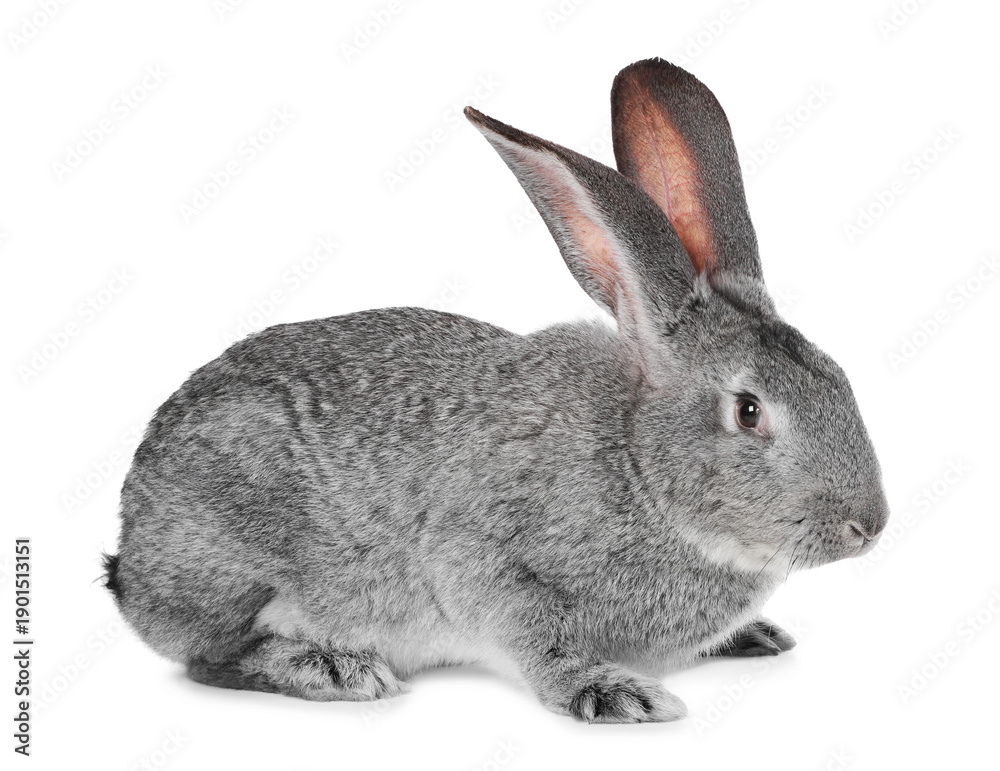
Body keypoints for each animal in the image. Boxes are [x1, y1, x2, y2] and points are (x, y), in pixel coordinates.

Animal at [103, 58, 889, 723]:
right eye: (749, 411)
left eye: (839, 377)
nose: (870, 525)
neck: (637, 464)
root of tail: (130, 556)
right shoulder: (484, 563)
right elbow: (537, 641)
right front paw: (615, 692)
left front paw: (748, 634)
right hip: (239, 560)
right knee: (210, 655)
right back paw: (333, 669)